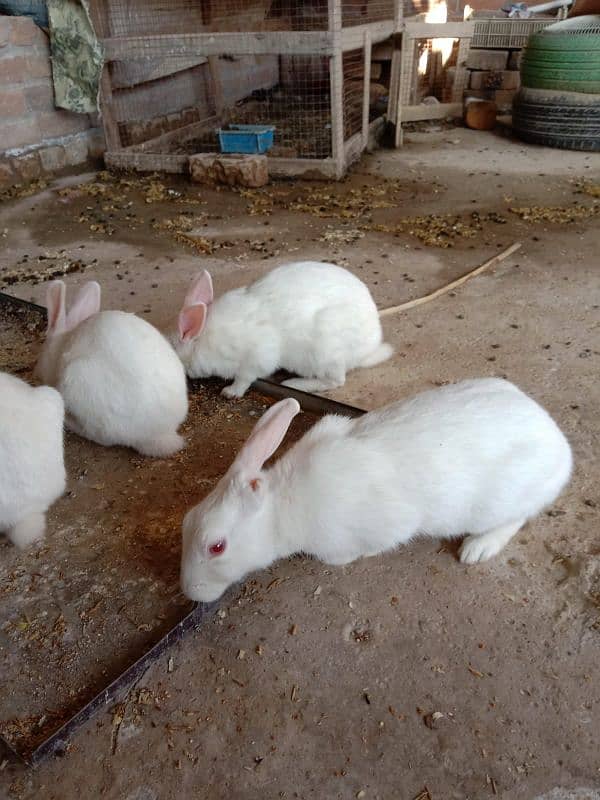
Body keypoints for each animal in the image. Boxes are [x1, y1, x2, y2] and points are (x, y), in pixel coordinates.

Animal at [169, 260, 394, 398]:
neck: (203, 339)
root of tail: (368, 350)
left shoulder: (257, 356)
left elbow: (245, 377)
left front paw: (230, 392)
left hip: (326, 352)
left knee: (336, 381)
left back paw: (293, 384)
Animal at [179, 380, 572, 600]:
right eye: (185, 521)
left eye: (216, 547)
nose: (189, 590)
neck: (284, 508)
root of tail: (559, 444)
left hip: (501, 502)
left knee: (516, 519)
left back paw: (477, 549)